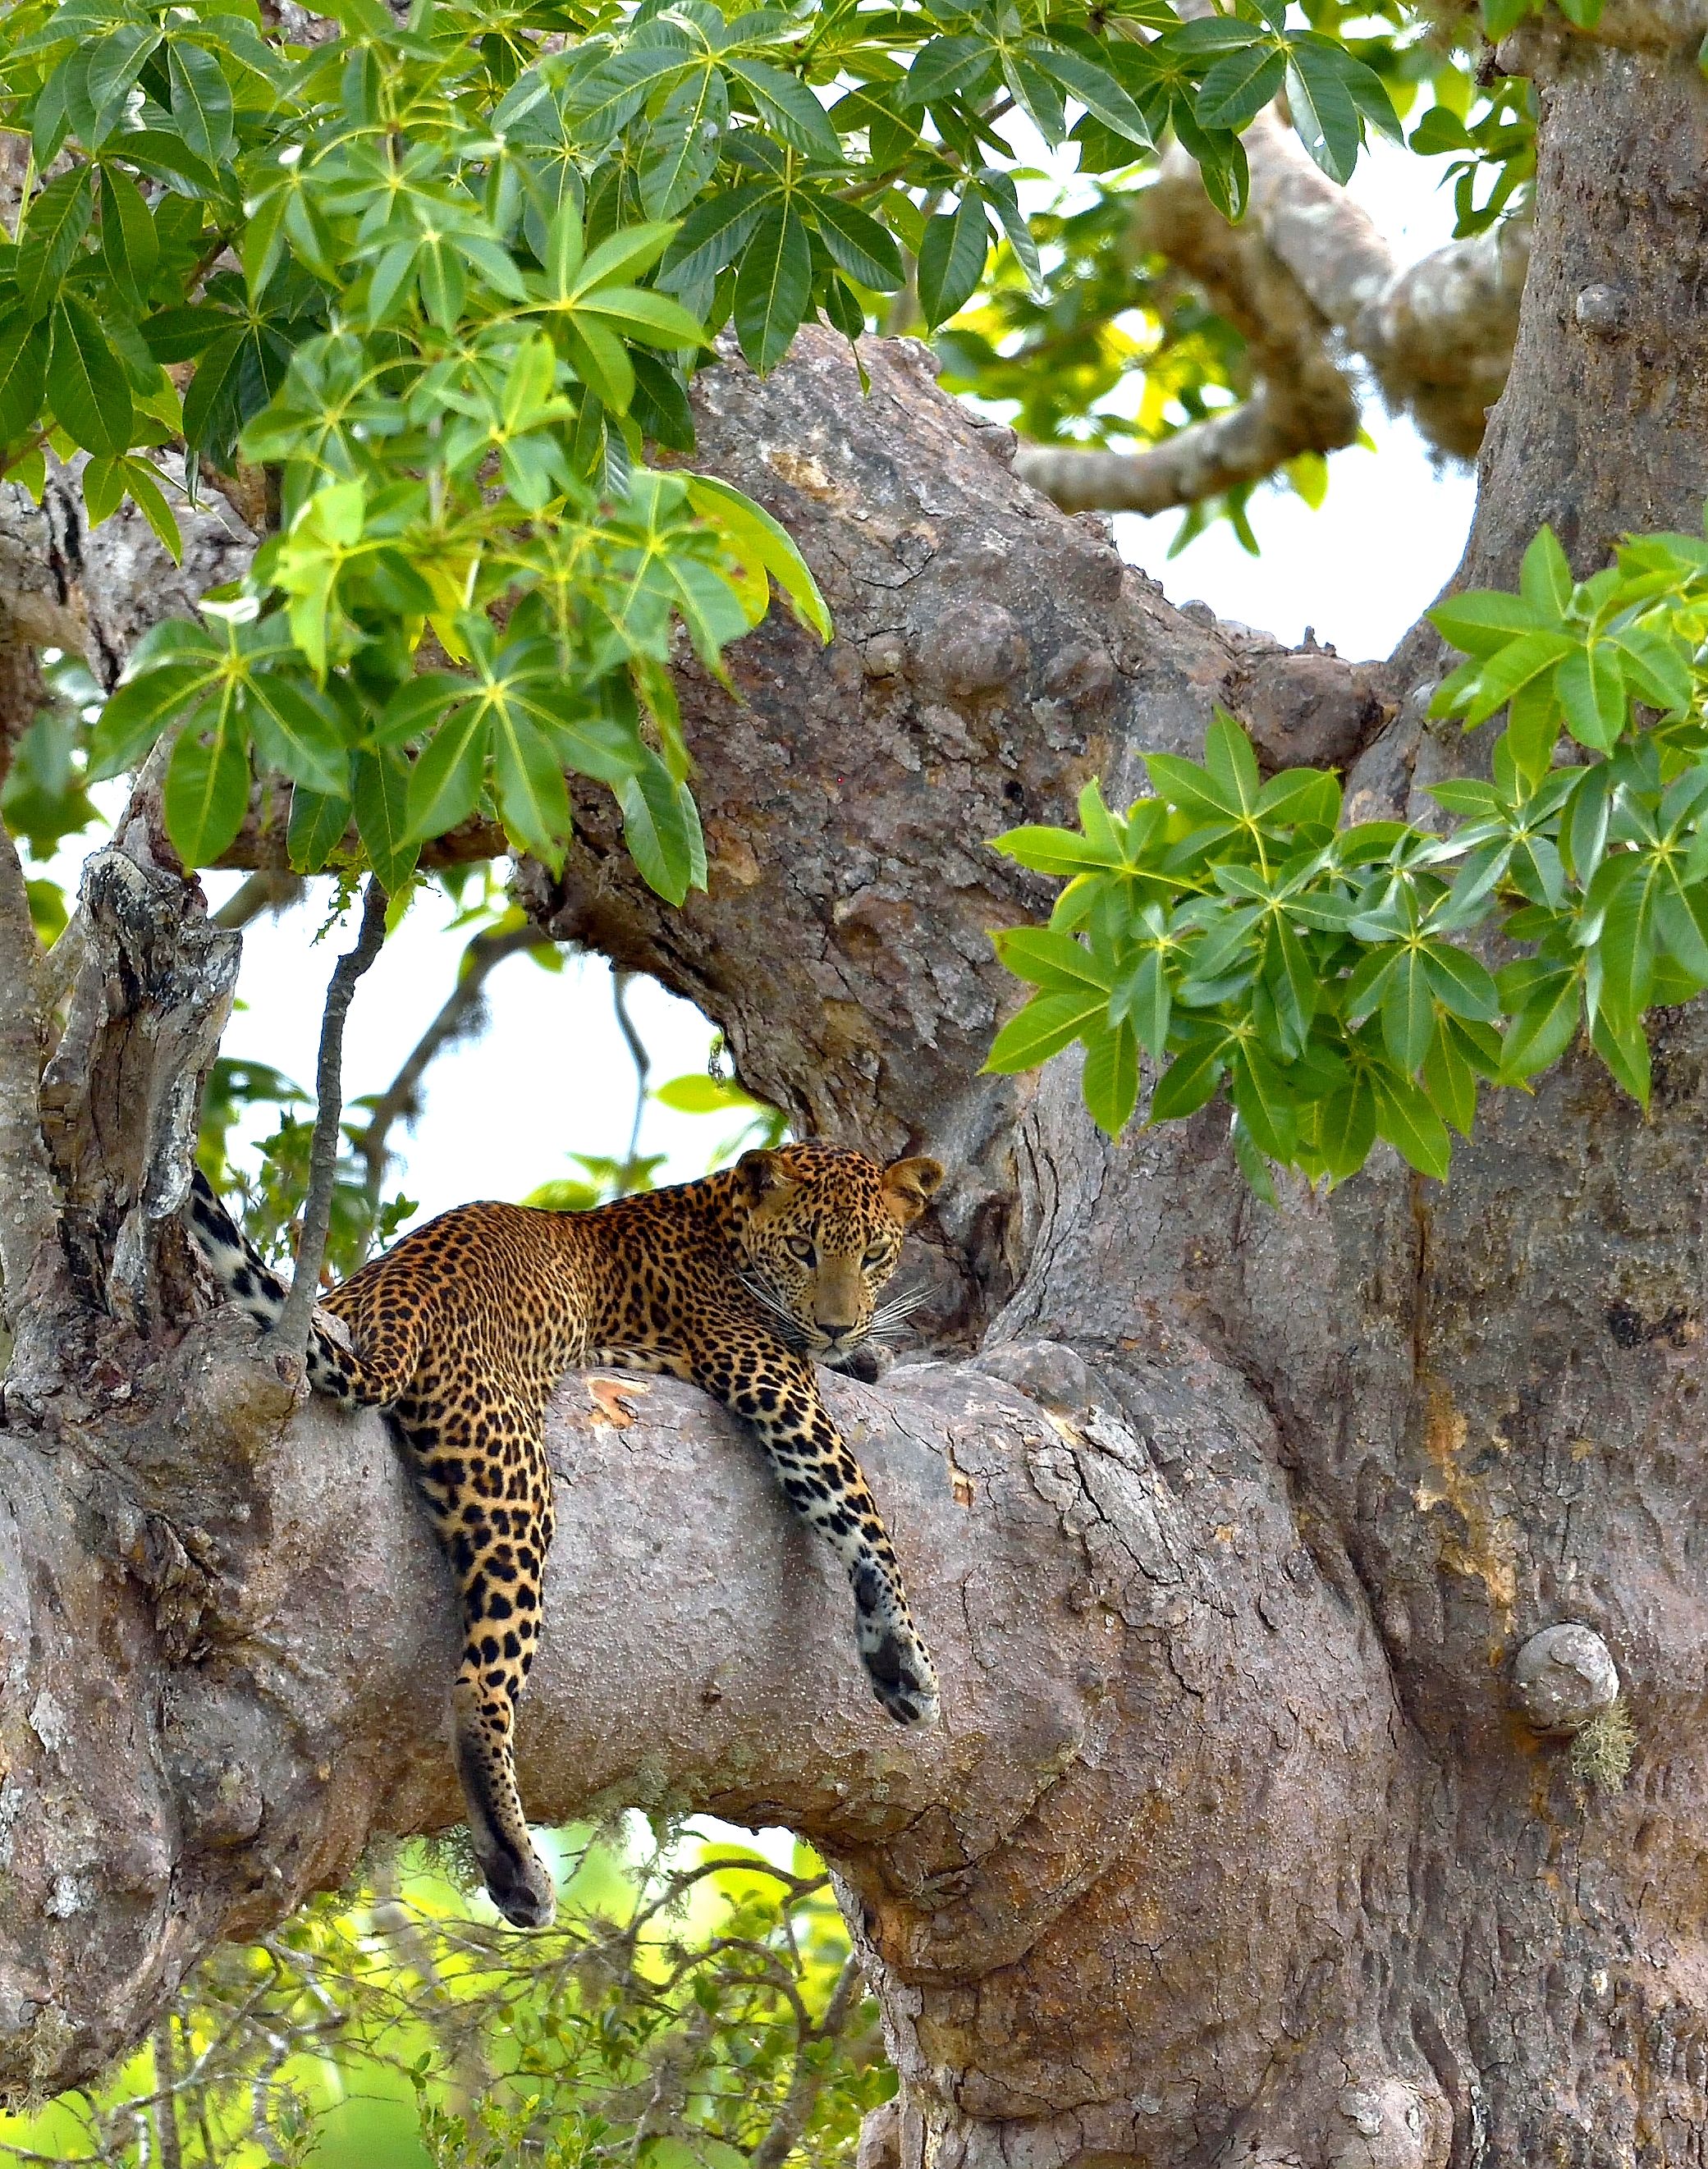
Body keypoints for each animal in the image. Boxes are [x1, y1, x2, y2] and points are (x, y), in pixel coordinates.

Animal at [185, 1140, 944, 1929]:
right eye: (803, 1249)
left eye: (874, 1254)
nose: (837, 1325)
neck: (722, 1217)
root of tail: (394, 1294)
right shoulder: (776, 1386)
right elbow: (863, 1517)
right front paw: (906, 1660)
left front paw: (869, 1351)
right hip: (515, 1481)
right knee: (479, 1683)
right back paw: (518, 1868)